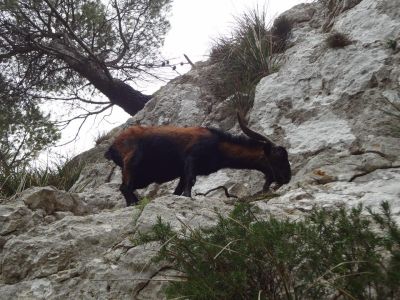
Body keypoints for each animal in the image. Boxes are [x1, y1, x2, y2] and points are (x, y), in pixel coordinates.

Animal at [103, 113, 290, 206]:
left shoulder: (182, 171)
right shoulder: (191, 158)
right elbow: (190, 182)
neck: (218, 143)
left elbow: (179, 189)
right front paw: (189, 197)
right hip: (132, 163)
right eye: (279, 157)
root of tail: (113, 146)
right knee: (125, 188)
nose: (287, 178)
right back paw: (133, 205)